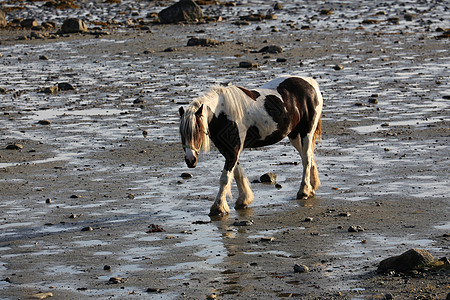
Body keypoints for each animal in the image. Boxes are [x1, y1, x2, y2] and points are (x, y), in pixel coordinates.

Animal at [179, 75, 324, 216]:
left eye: (197, 131)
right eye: (181, 133)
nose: (190, 160)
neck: (222, 114)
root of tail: (311, 84)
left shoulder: (233, 150)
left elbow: (225, 178)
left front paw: (218, 207)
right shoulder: (228, 150)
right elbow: (237, 173)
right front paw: (244, 200)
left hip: (306, 132)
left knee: (306, 159)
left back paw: (303, 191)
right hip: (294, 135)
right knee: (308, 157)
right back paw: (311, 188)